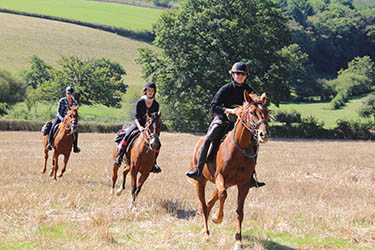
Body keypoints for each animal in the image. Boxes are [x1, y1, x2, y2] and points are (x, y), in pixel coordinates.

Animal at [191, 91, 270, 250]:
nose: (263, 134)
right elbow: (223, 195)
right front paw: (217, 218)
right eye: (252, 112)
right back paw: (206, 233)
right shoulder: (220, 176)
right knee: (203, 205)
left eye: (265, 111)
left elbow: (239, 212)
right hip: (200, 181)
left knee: (209, 202)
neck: (238, 149)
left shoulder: (244, 184)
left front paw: (238, 241)